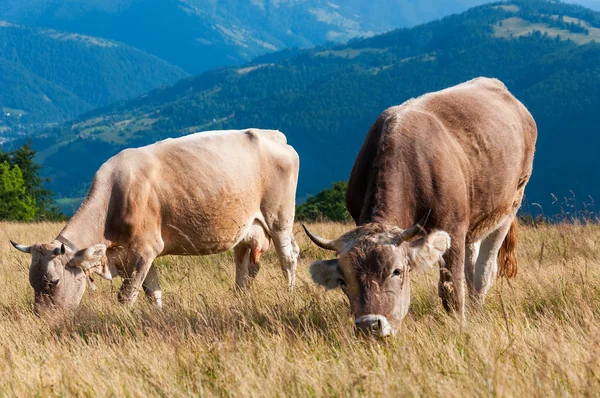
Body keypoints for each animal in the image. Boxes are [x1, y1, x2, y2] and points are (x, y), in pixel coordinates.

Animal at [9, 128, 300, 314]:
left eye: (53, 282)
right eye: (32, 282)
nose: (43, 319)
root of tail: (274, 134)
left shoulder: (144, 250)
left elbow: (127, 295)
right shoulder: (137, 255)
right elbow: (153, 292)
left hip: (279, 218)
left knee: (288, 257)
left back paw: (289, 295)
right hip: (247, 228)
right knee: (244, 266)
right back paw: (238, 299)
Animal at [308, 77, 536, 336]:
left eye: (396, 271)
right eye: (343, 281)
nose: (369, 325)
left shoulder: (452, 230)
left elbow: (451, 289)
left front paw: (459, 327)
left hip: (511, 203)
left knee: (484, 270)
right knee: (471, 263)